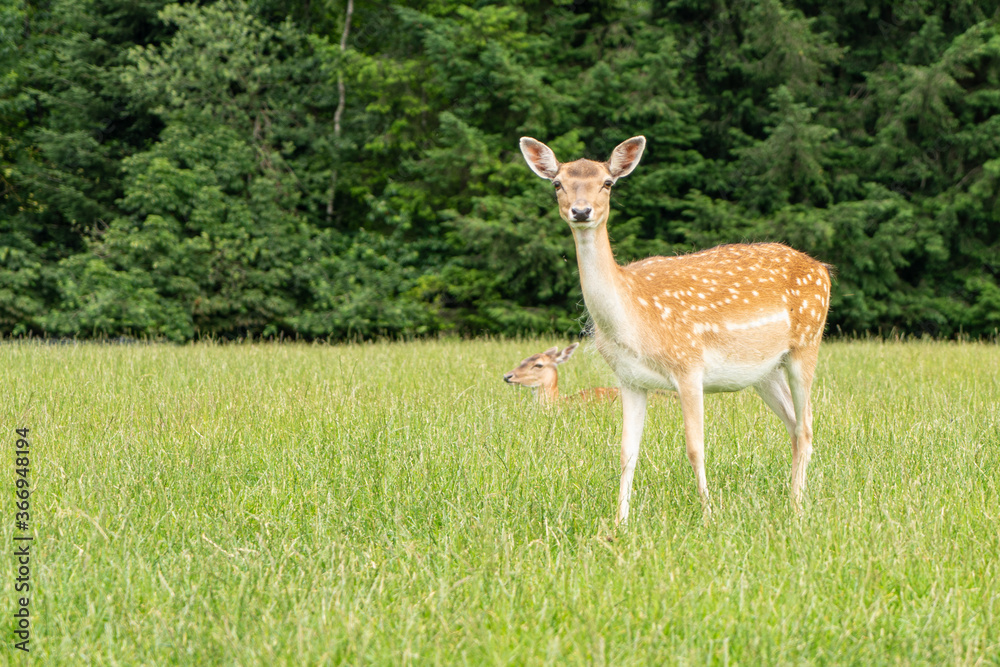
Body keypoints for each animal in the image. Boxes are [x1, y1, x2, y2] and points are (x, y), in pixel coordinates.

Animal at [520, 136, 832, 524]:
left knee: (806, 426)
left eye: (607, 183)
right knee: (793, 424)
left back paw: (797, 507)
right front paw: (619, 522)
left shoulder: (688, 365)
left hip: (807, 343)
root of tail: (823, 269)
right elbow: (626, 452)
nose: (580, 211)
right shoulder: (629, 379)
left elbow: (695, 447)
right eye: (557, 183)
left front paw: (708, 515)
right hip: (764, 370)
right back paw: (793, 500)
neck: (634, 321)